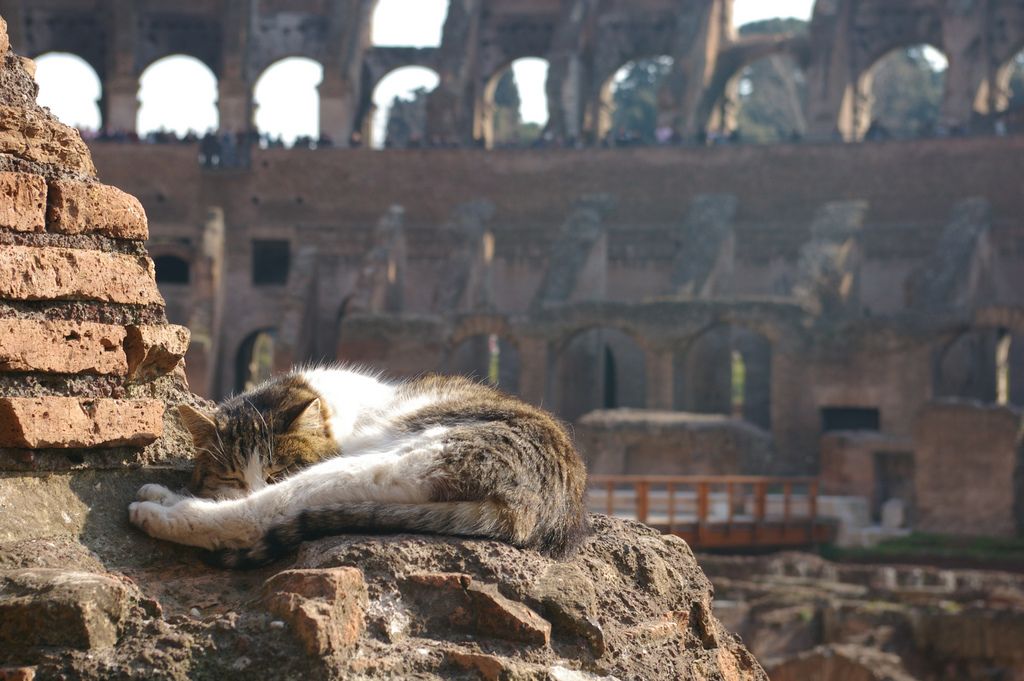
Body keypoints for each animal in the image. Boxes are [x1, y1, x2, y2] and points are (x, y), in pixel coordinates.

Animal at [129, 366, 593, 569]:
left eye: (278, 469)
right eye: (229, 476)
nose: (252, 484)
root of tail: (547, 513)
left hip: (389, 461)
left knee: (259, 514)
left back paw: (159, 513)